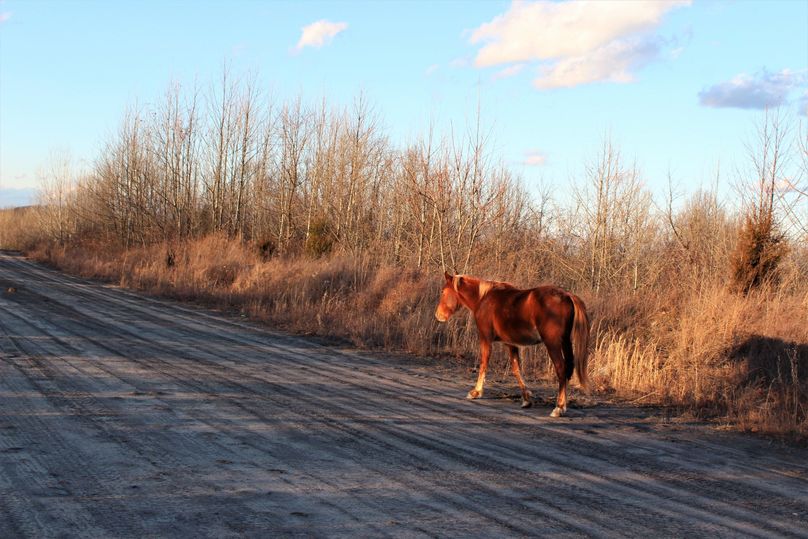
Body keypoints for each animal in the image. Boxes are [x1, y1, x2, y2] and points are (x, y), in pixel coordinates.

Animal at [435, 272, 590, 417]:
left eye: (443, 291)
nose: (438, 315)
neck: (483, 298)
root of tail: (567, 295)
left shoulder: (485, 339)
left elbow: (483, 364)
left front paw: (476, 392)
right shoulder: (511, 343)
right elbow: (516, 369)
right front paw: (526, 399)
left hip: (553, 344)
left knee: (561, 369)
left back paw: (559, 407)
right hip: (566, 342)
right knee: (568, 368)